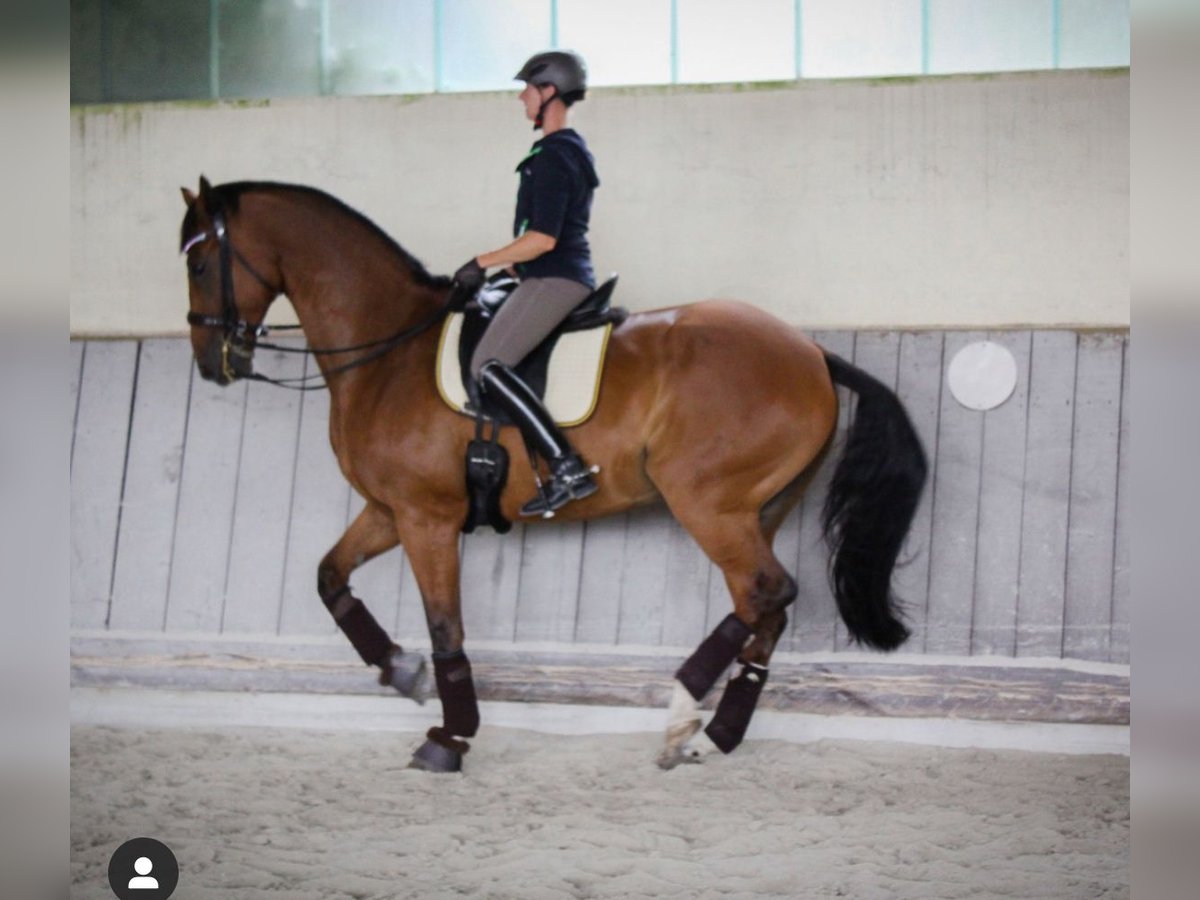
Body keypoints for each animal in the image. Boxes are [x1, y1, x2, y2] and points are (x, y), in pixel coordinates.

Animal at [175, 177, 926, 777]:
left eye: (202, 262)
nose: (212, 363)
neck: (387, 351)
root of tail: (813, 353)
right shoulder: (389, 511)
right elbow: (330, 578)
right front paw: (400, 670)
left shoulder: (425, 517)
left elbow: (445, 626)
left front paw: (449, 736)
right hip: (757, 509)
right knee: (765, 608)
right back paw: (710, 734)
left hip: (709, 504)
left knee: (766, 593)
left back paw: (683, 710)